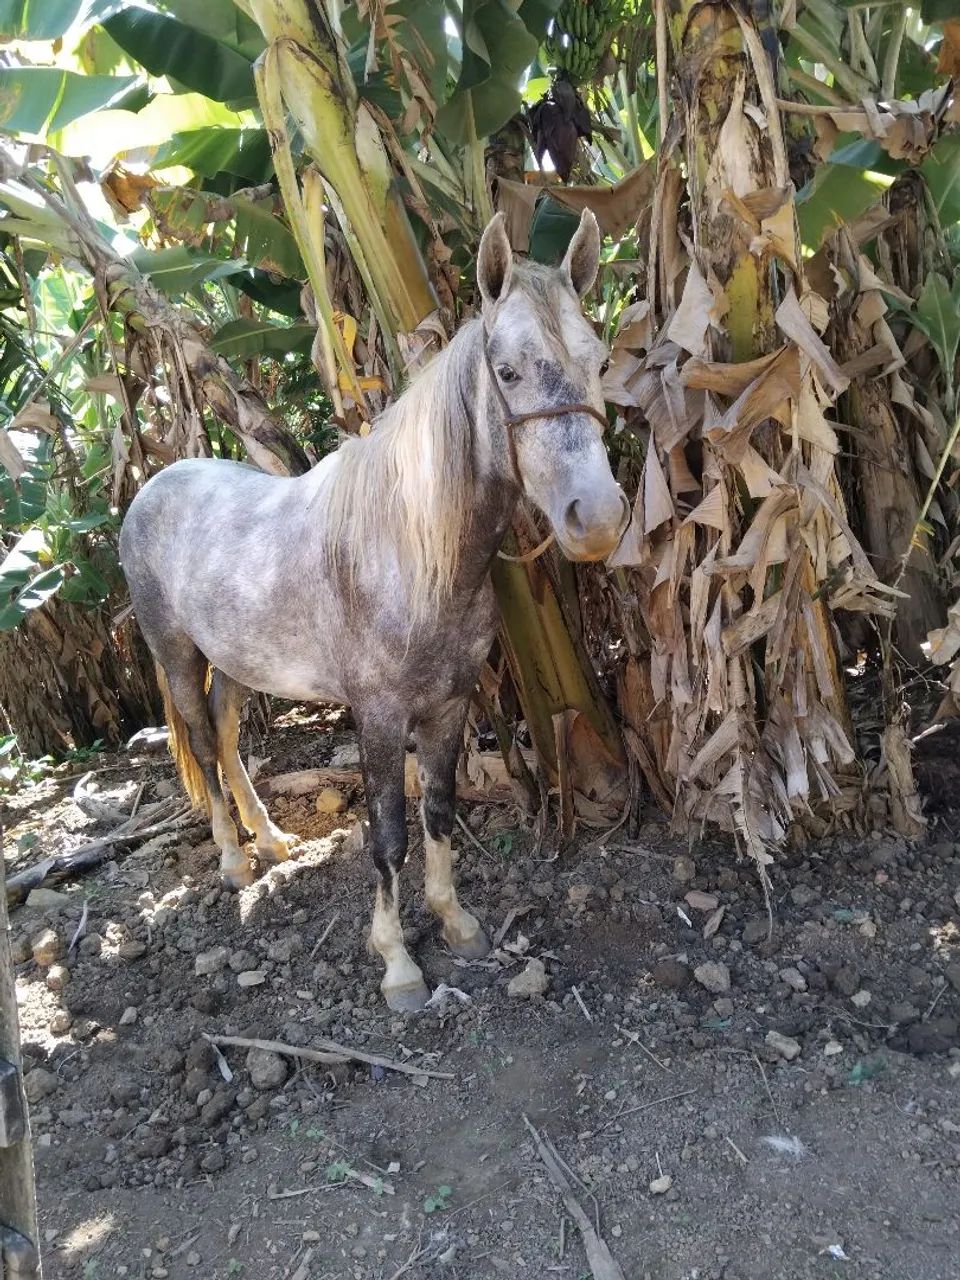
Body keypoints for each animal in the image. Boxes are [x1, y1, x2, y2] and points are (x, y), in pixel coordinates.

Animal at [119, 209, 629, 1012]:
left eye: (600, 362)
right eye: (508, 372)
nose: (598, 518)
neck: (414, 555)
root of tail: (152, 486)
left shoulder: (450, 704)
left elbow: (440, 811)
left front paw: (456, 922)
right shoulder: (381, 716)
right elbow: (388, 837)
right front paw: (397, 964)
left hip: (240, 660)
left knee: (229, 737)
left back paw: (272, 840)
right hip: (175, 654)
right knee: (202, 743)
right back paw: (234, 860)